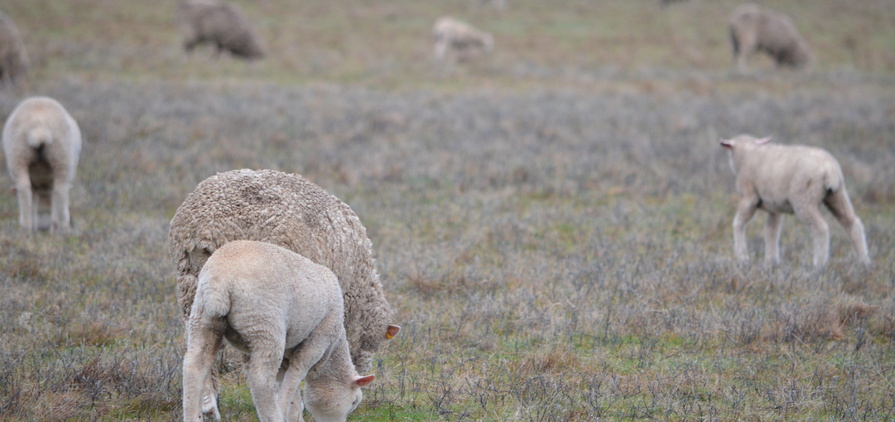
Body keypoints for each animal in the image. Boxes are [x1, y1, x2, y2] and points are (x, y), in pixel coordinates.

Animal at [2, 96, 82, 234]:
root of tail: (39, 127)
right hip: (61, 157)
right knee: (60, 191)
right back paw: (60, 229)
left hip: (18, 155)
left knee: (24, 189)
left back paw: (26, 228)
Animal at [183, 241, 374, 422]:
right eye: (354, 402)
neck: (334, 349)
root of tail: (220, 281)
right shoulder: (317, 341)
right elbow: (295, 376)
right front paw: (283, 410)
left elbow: (288, 385)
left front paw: (294, 415)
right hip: (265, 326)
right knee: (261, 380)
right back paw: (273, 415)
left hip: (203, 318)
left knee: (194, 366)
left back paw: (193, 415)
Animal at [720, 135, 876, 268]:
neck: (748, 154)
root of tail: (829, 170)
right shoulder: (775, 207)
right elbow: (771, 231)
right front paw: (771, 262)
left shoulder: (749, 197)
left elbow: (738, 224)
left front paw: (743, 259)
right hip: (837, 195)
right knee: (852, 223)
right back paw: (863, 262)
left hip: (804, 199)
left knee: (820, 228)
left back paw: (819, 265)